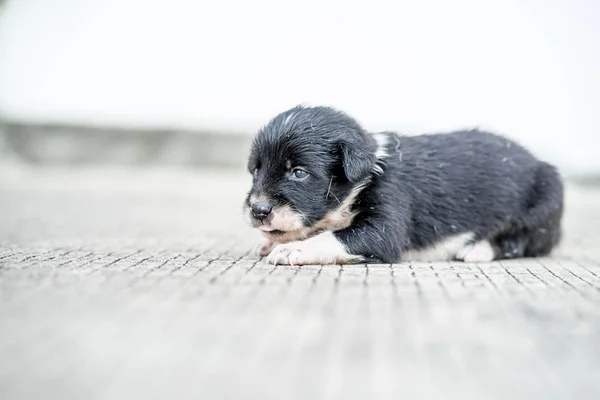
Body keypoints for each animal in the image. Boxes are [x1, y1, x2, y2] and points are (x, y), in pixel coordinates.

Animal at [243, 105, 564, 266]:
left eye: (298, 173)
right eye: (256, 169)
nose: (258, 210)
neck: (368, 170)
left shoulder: (386, 220)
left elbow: (336, 236)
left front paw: (291, 249)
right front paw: (272, 242)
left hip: (543, 202)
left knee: (520, 242)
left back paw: (477, 250)